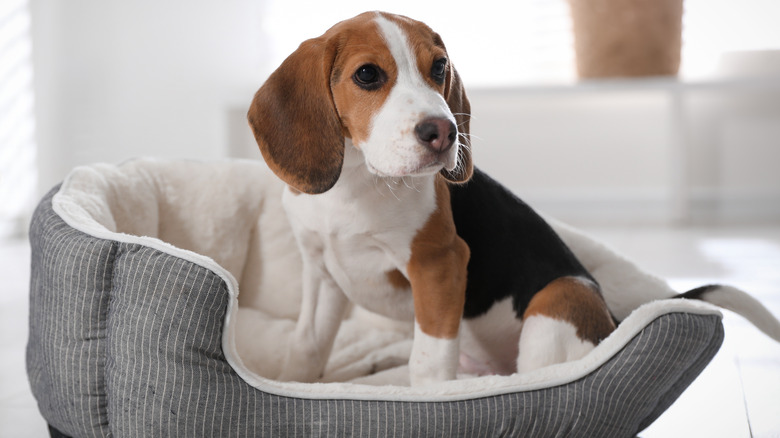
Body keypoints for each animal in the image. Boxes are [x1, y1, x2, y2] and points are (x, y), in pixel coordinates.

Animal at [250, 11, 616, 386]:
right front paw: (292, 382)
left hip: (562, 297)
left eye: (439, 67)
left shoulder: (438, 264)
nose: (444, 132)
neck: (355, 182)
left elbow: (428, 364)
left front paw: (432, 395)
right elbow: (306, 345)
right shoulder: (321, 272)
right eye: (367, 74)